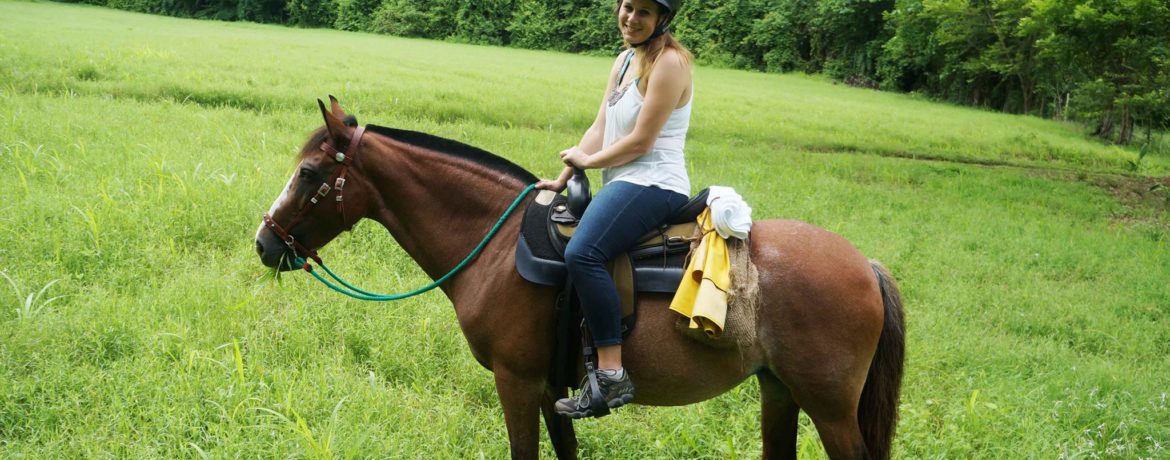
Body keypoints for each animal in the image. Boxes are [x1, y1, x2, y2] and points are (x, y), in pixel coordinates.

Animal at [256, 98, 907, 456]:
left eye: (309, 173)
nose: (265, 243)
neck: (496, 245)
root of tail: (866, 266)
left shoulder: (517, 382)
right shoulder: (551, 388)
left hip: (830, 407)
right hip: (780, 391)